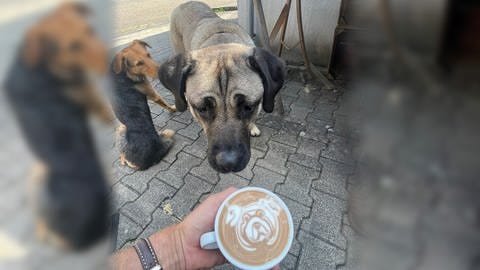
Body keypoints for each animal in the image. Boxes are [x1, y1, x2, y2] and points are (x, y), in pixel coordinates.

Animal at [110, 40, 174, 170]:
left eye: (148, 55)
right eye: (139, 63)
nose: (162, 71)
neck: (123, 72)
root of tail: (152, 159)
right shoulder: (153, 94)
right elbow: (165, 104)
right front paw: (174, 108)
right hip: (122, 128)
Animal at [160, 1, 284, 172]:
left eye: (248, 107)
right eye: (202, 108)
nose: (228, 163)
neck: (222, 43)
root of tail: (187, 3)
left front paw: (252, 126)